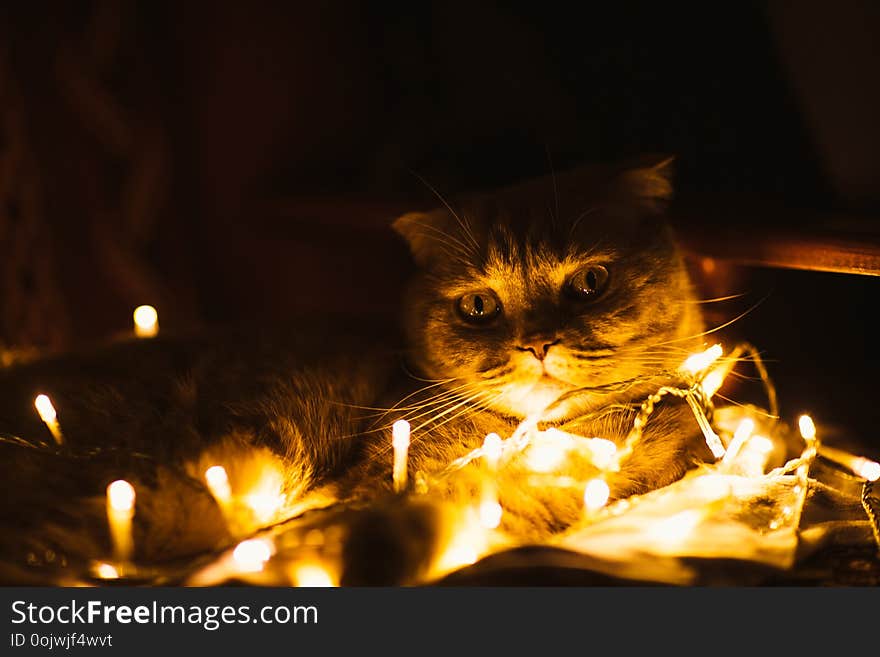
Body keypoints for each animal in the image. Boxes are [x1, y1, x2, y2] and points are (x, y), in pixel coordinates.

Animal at [0, 155, 708, 584]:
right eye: (479, 307)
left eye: (590, 282)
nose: (536, 344)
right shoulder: (378, 481)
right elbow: (332, 537)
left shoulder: (506, 502)